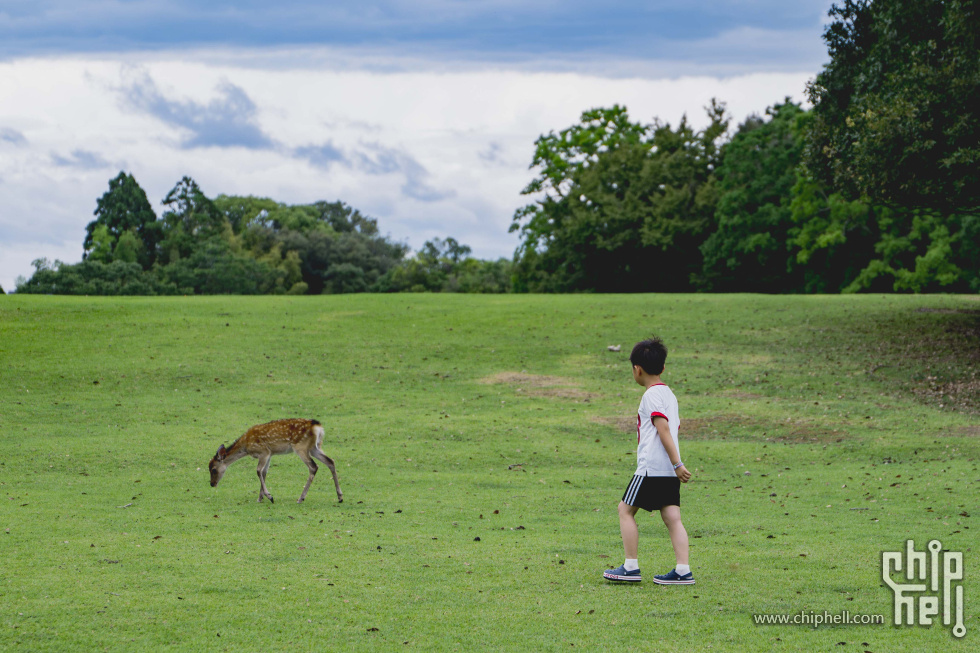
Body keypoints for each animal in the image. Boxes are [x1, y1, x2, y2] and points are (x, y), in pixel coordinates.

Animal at [209, 418, 342, 504]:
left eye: (213, 469)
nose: (212, 484)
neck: (246, 446)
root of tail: (318, 427)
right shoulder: (270, 453)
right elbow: (264, 472)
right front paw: (260, 498)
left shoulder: (264, 451)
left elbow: (258, 471)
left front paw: (269, 496)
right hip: (315, 447)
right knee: (330, 461)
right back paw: (340, 497)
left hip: (301, 447)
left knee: (313, 466)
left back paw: (301, 498)